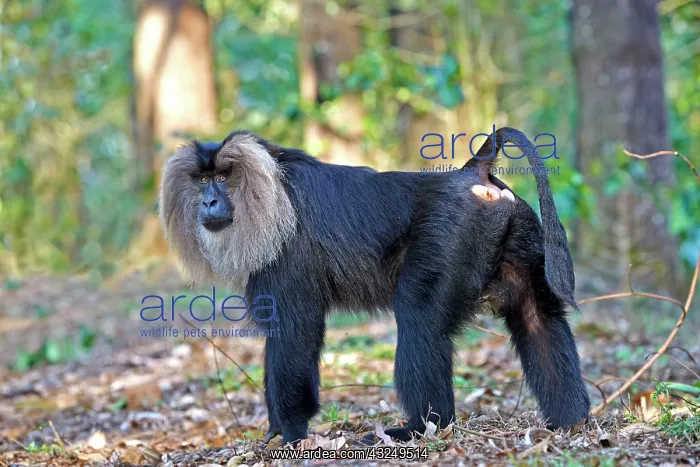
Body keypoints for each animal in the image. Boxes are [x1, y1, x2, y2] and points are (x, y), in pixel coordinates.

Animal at [159, 127, 590, 446]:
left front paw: (292, 435)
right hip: (519, 233)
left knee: (419, 318)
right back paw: (570, 424)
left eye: (223, 178)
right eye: (202, 180)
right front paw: (275, 431)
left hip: (449, 233)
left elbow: (296, 334)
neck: (269, 191)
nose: (208, 203)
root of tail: (473, 173)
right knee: (537, 316)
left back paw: (420, 428)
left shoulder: (288, 255)